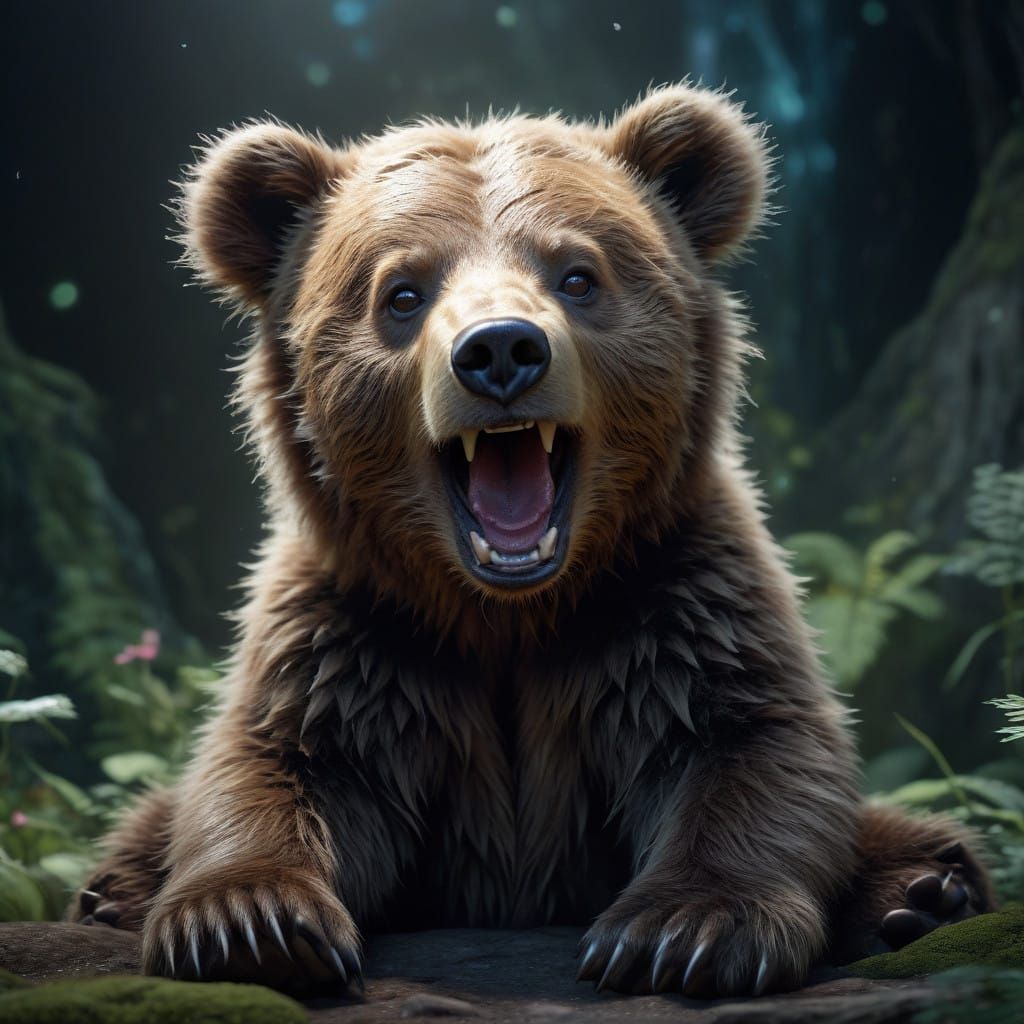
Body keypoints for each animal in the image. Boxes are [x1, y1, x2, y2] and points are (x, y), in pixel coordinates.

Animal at [71, 84, 993, 997]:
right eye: (401, 292)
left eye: (578, 274)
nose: (501, 350)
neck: (509, 611)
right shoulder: (362, 638)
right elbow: (278, 760)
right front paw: (247, 920)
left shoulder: (671, 605)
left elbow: (753, 743)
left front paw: (682, 929)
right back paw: (112, 894)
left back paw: (919, 891)